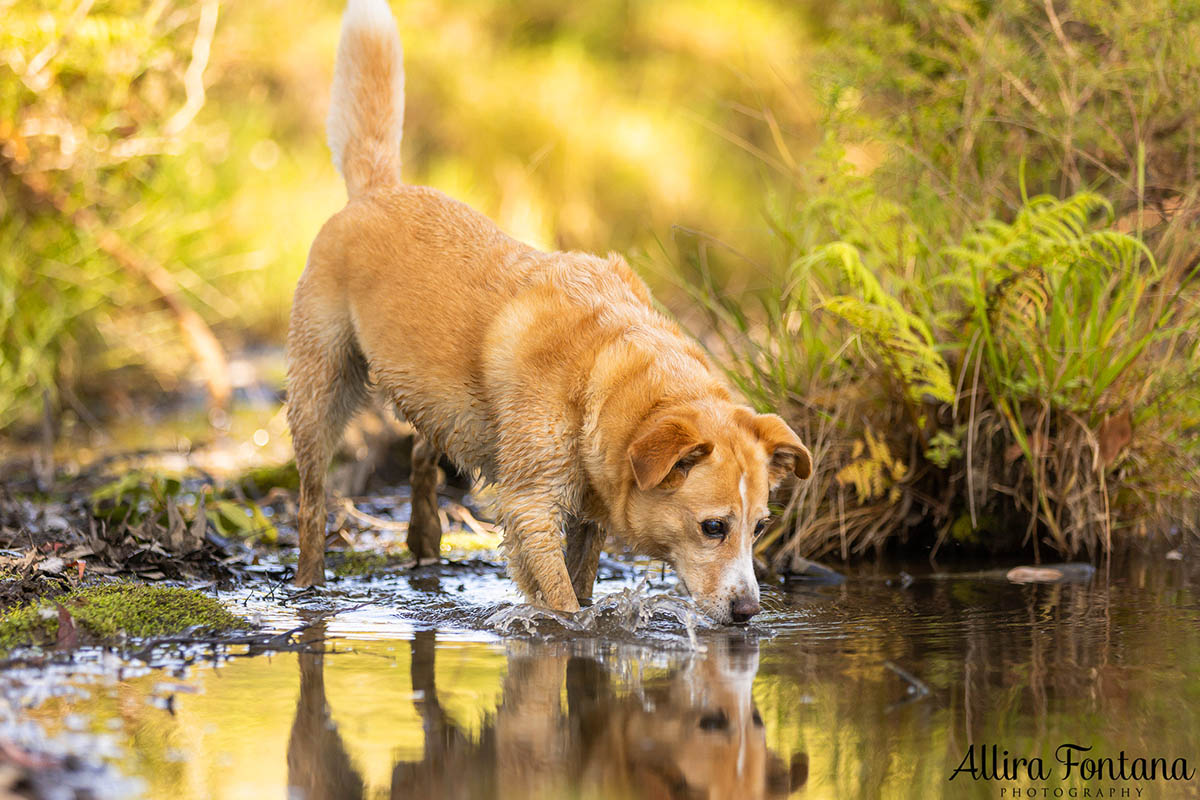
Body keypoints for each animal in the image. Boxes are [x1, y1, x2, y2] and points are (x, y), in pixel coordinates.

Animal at [288, 0, 816, 623]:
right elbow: (561, 600)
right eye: (714, 527)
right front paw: (568, 626)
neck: (603, 371)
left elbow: (582, 577)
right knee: (312, 497)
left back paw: (424, 538)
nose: (749, 611)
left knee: (421, 450)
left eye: (759, 528)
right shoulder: (531, 505)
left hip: (435, 394)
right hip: (322, 387)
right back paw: (308, 580)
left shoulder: (591, 507)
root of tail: (377, 189)